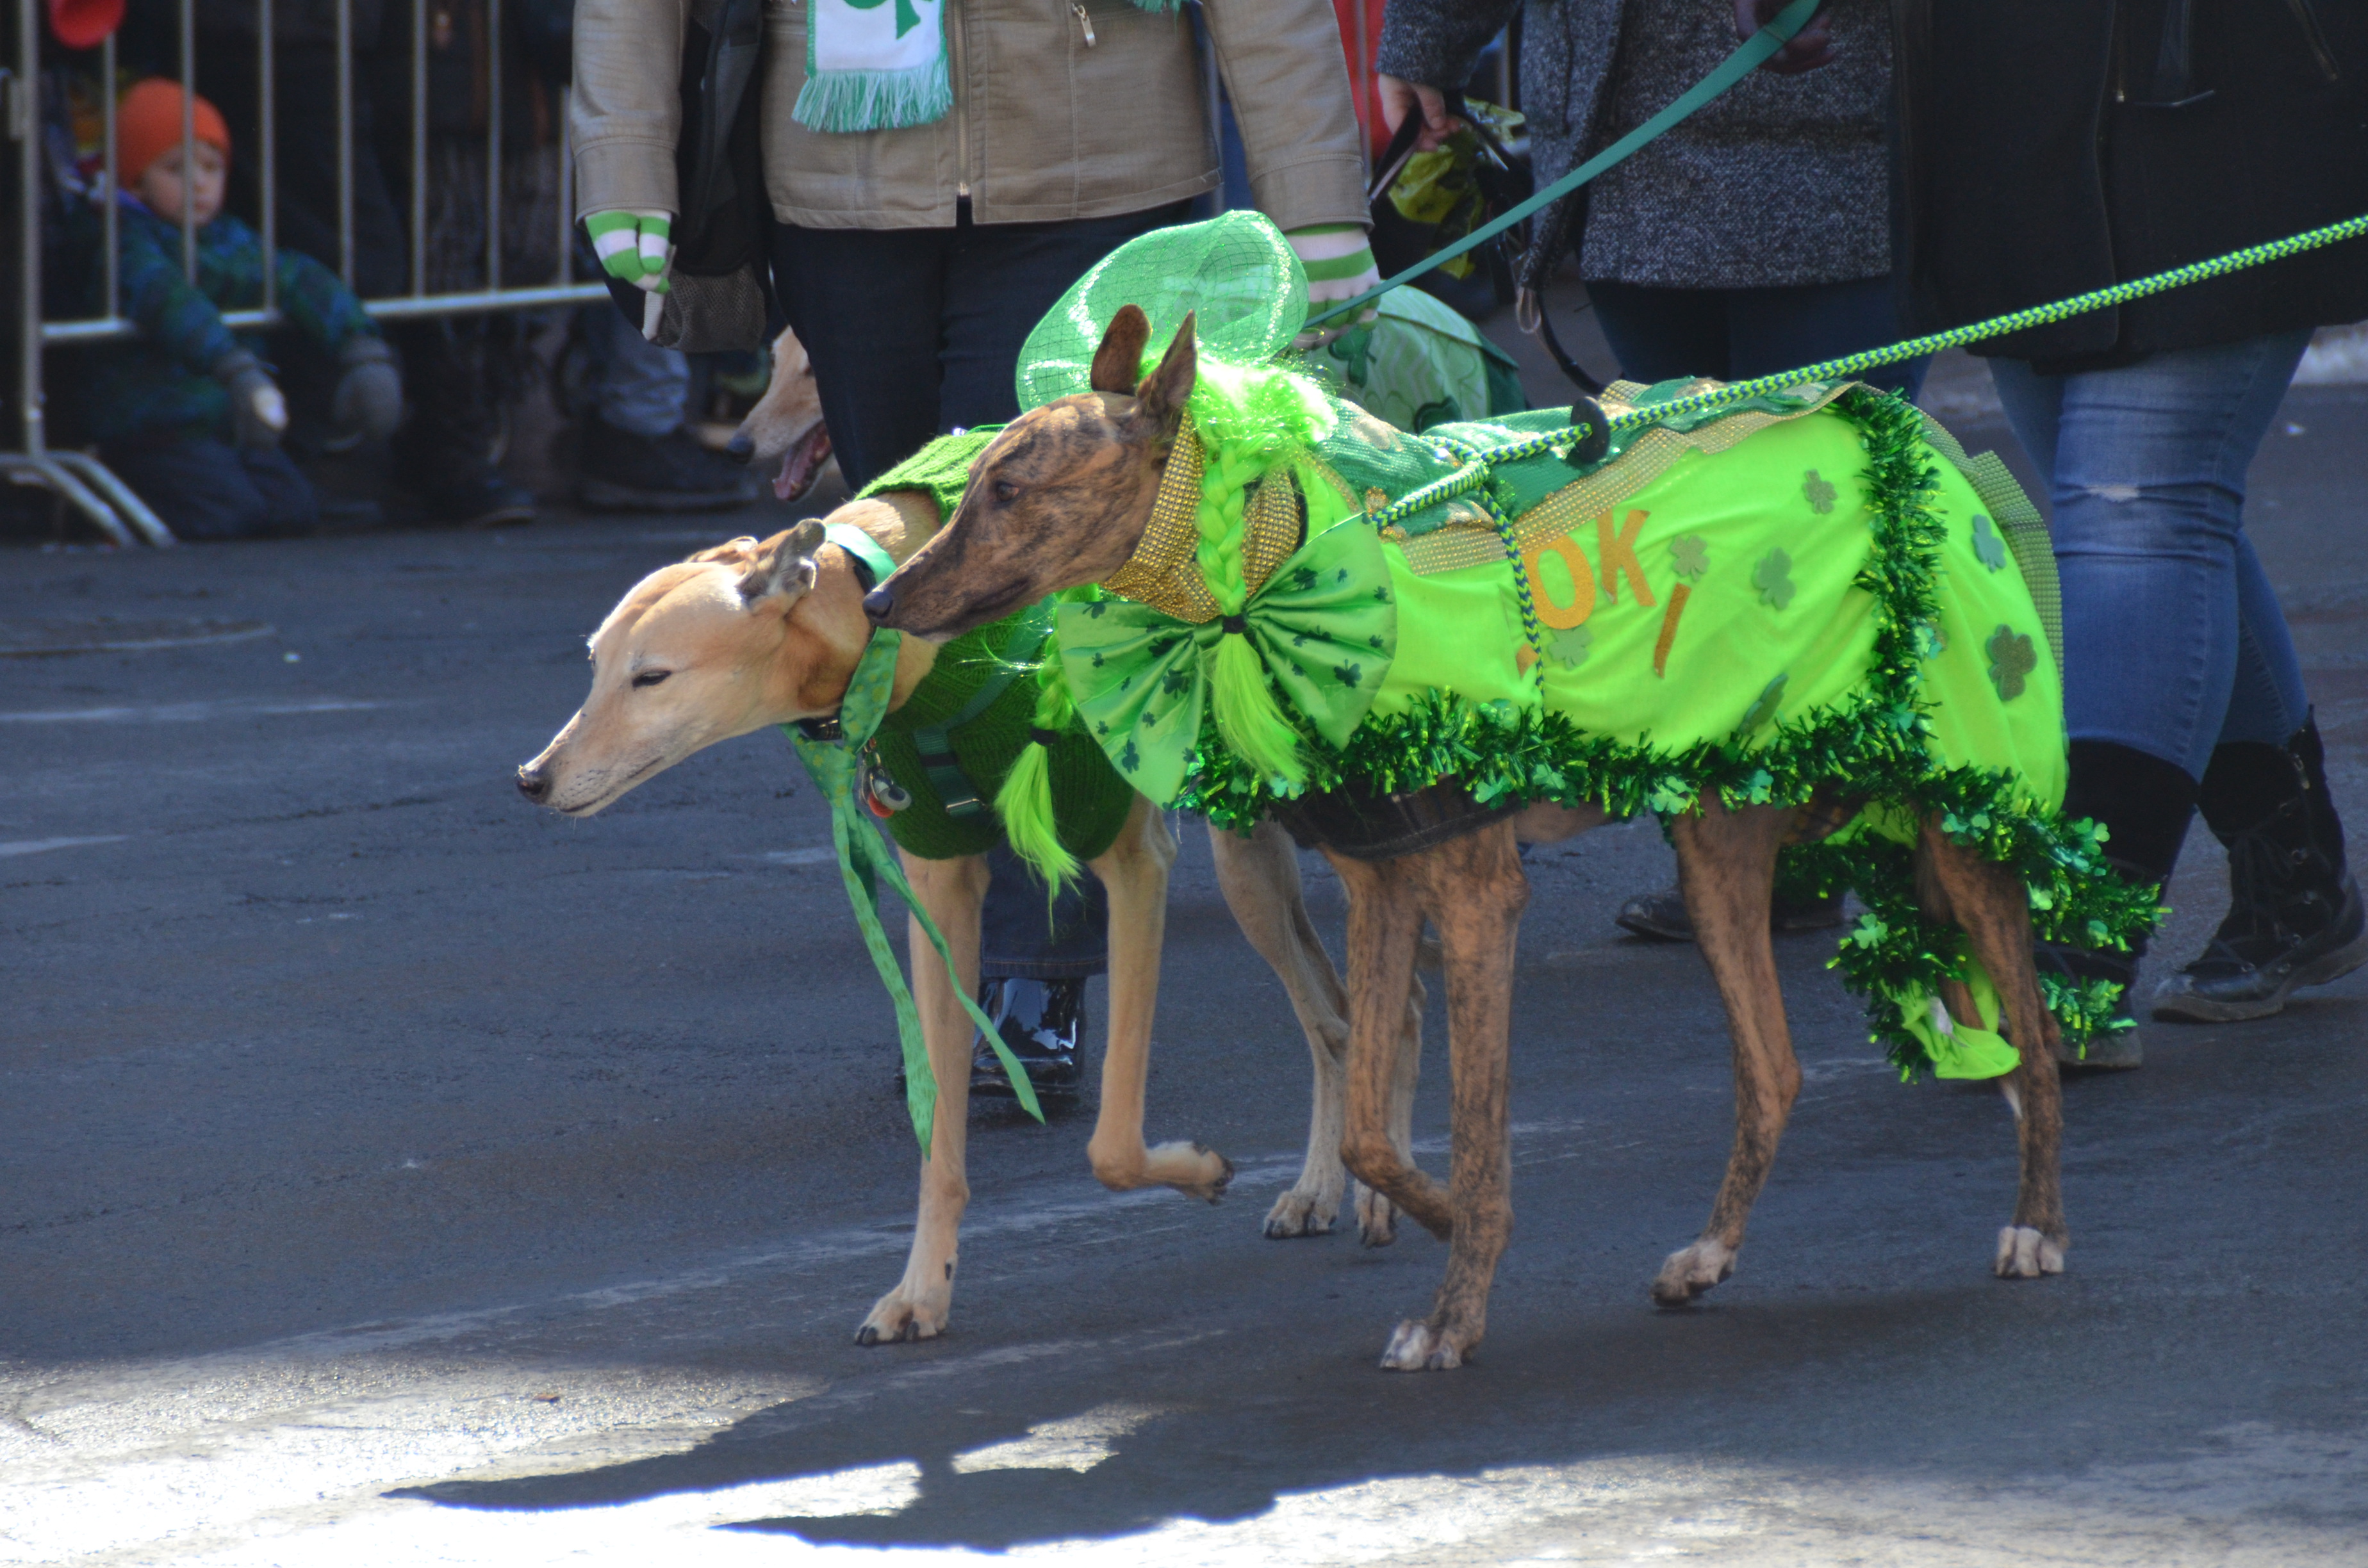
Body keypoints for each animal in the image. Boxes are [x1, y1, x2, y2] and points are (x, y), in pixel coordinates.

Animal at [517, 486, 1431, 1345]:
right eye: (596, 663)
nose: (531, 778)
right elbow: (940, 1143)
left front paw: (1199, 1170)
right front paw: (921, 1292)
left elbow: (1113, 1143)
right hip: (1257, 860)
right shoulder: (941, 895)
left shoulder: (1133, 863)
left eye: (653, 676)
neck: (898, 625)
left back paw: (1385, 1191)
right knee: (1343, 1018)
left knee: (1378, 1005)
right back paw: (1325, 1189)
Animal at [863, 306, 2075, 1371]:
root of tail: (1909, 432)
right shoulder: (1383, 884)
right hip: (1717, 840)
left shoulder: (1481, 895)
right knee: (1775, 1069)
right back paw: (1708, 1256)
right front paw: (1430, 1219)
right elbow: (1368, 1124)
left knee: (2033, 1032)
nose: (880, 603)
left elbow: (1482, 1137)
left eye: (1009, 490)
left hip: (1963, 814)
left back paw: (2038, 1225)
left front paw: (1454, 1307)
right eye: (969, 485)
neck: (1287, 555)